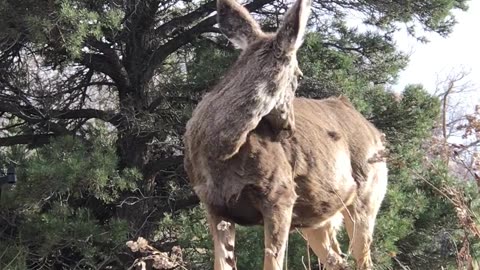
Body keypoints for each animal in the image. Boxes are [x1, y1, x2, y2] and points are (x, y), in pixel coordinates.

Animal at [182, 0, 388, 268]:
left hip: (367, 197)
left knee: (362, 257)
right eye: (299, 75)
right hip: (316, 216)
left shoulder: (281, 195)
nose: (289, 128)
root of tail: (376, 133)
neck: (219, 154)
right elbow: (222, 263)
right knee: (336, 258)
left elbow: (272, 263)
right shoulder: (212, 203)